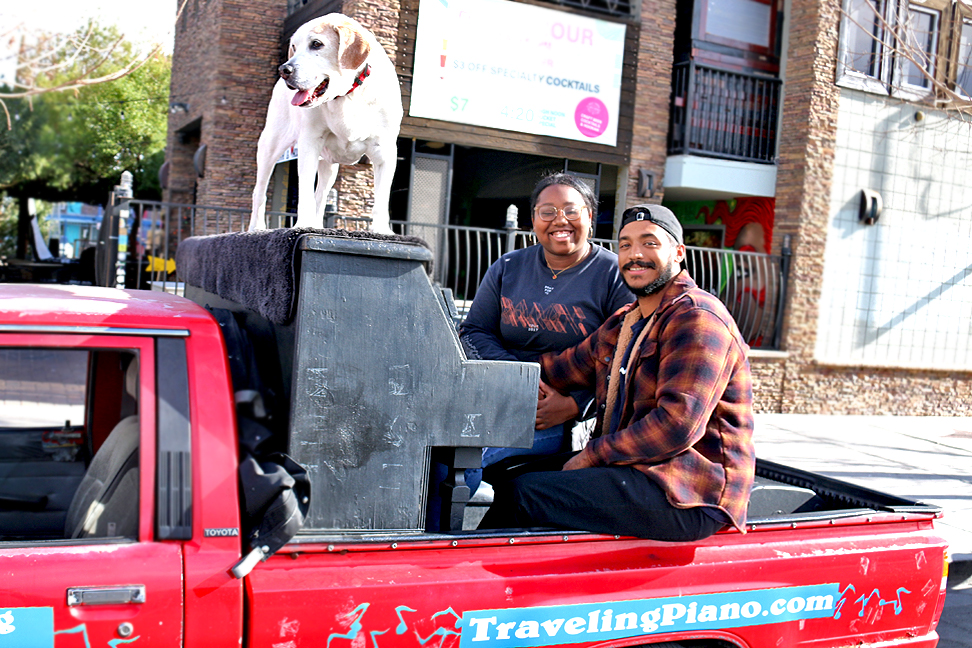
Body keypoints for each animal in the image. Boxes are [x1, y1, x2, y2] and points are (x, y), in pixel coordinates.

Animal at [249, 14, 403, 234]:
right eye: (294, 47)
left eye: (316, 44)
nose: (284, 69)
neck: (348, 95)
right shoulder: (309, 144)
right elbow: (305, 192)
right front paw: (303, 224)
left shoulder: (385, 151)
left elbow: (381, 199)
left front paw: (381, 230)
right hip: (270, 145)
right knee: (260, 191)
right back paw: (256, 227)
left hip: (330, 168)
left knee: (321, 196)